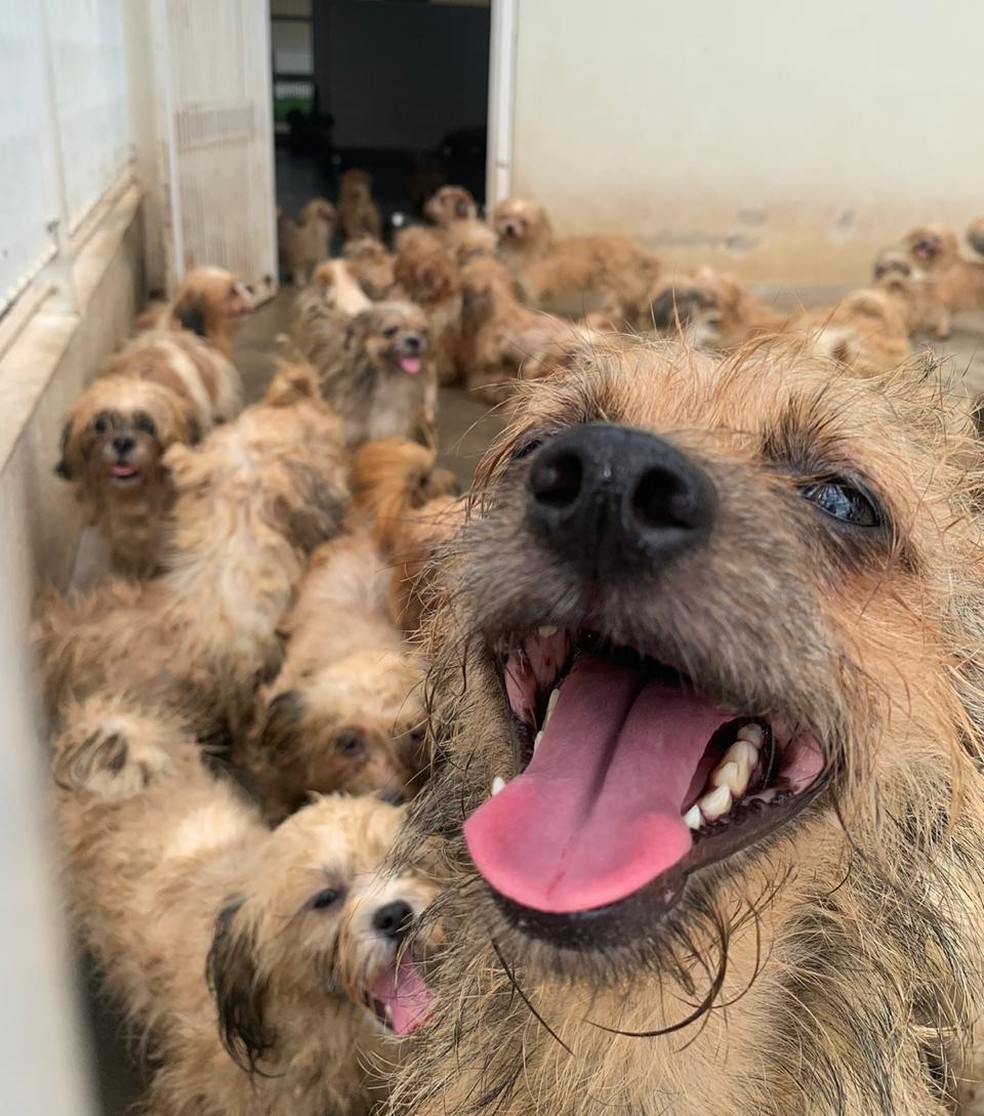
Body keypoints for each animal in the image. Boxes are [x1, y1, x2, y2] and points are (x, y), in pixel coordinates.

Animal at [490, 196, 660, 325]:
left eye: (524, 222)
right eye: (504, 217)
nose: (509, 228)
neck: (521, 248)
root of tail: (636, 249)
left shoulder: (533, 290)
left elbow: (530, 306)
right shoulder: (522, 286)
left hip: (615, 286)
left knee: (618, 308)